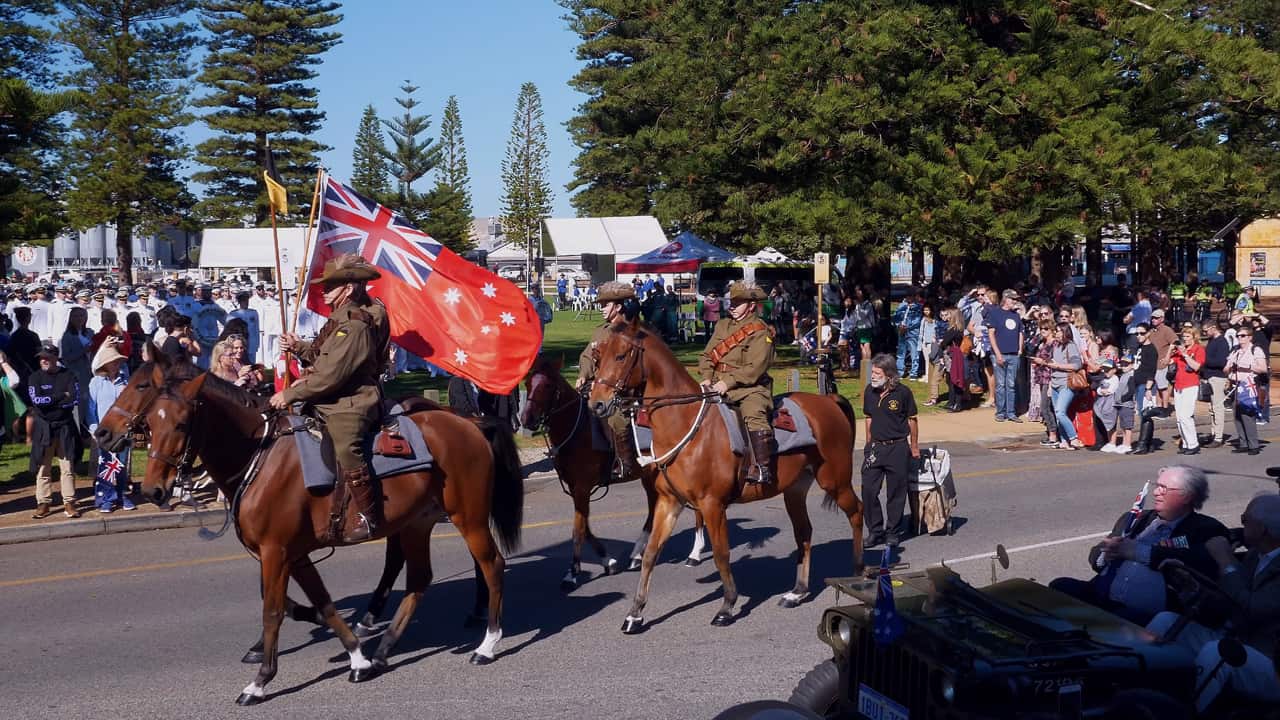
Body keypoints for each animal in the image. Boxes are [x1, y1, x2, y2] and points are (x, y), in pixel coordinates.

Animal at [92, 358, 524, 702]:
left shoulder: (276, 551)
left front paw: (260, 681)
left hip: (468, 516)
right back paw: (384, 647)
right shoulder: (294, 555)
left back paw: (487, 642)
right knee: (419, 579)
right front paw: (357, 657)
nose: (153, 489)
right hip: (417, 523)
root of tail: (468, 423)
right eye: (152, 420)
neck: (259, 456)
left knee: (492, 564)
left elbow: (272, 610)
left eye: (182, 423)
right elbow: (322, 604)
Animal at [519, 353, 711, 589]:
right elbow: (585, 527)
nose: (526, 420)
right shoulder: (576, 489)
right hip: (650, 478)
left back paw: (694, 553)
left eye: (547, 385)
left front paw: (572, 573)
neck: (577, 429)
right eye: (528, 383)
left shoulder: (582, 488)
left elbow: (578, 530)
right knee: (653, 510)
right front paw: (607, 560)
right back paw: (637, 554)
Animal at [586, 319, 865, 627]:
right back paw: (798, 591)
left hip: (834, 480)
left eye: (621, 356)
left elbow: (721, 553)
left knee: (857, 512)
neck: (684, 424)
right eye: (598, 356)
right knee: (804, 532)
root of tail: (827, 401)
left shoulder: (712, 504)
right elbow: (650, 553)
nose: (596, 403)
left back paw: (857, 573)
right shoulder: (669, 502)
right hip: (795, 490)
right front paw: (635, 612)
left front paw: (727, 605)